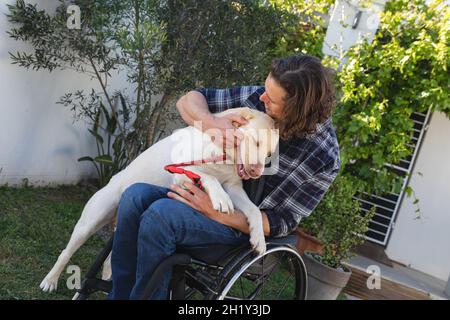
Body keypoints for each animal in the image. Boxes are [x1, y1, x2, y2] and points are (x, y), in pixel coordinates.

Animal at [39, 107, 278, 292]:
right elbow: (207, 176)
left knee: (112, 254)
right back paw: (50, 281)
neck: (223, 153)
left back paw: (109, 277)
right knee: (66, 253)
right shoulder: (180, 171)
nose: (257, 172)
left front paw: (259, 237)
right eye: (256, 142)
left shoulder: (234, 188)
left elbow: (254, 210)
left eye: (269, 154)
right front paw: (219, 196)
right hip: (89, 223)